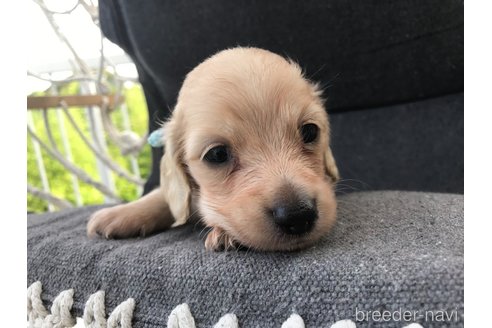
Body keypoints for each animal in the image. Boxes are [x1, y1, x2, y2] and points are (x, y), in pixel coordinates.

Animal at [87, 46, 338, 251]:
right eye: (217, 154)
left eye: (310, 132)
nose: (298, 216)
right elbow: (165, 196)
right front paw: (123, 212)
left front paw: (224, 233)